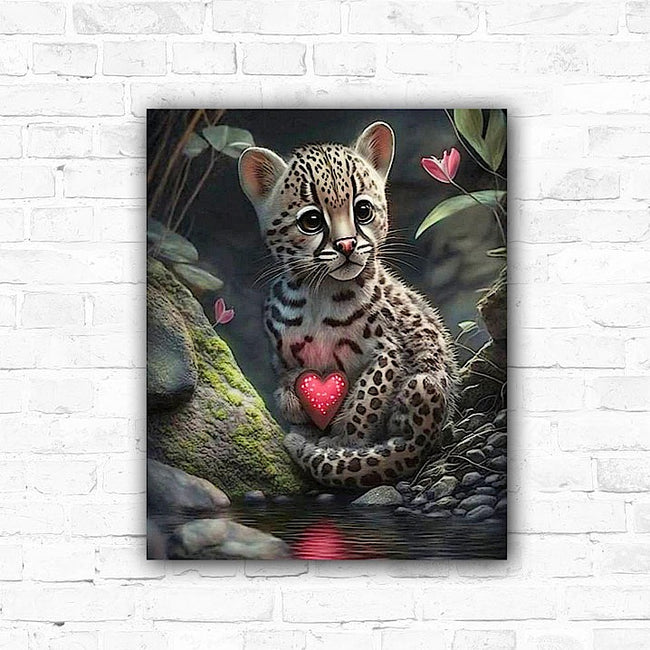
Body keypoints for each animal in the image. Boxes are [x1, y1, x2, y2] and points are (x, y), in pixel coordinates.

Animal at [238, 121, 457, 489]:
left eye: (363, 210)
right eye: (311, 220)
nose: (346, 245)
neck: (319, 295)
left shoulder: (388, 350)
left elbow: (366, 398)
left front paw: (344, 443)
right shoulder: (285, 357)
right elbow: (290, 382)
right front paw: (297, 412)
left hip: (424, 384)